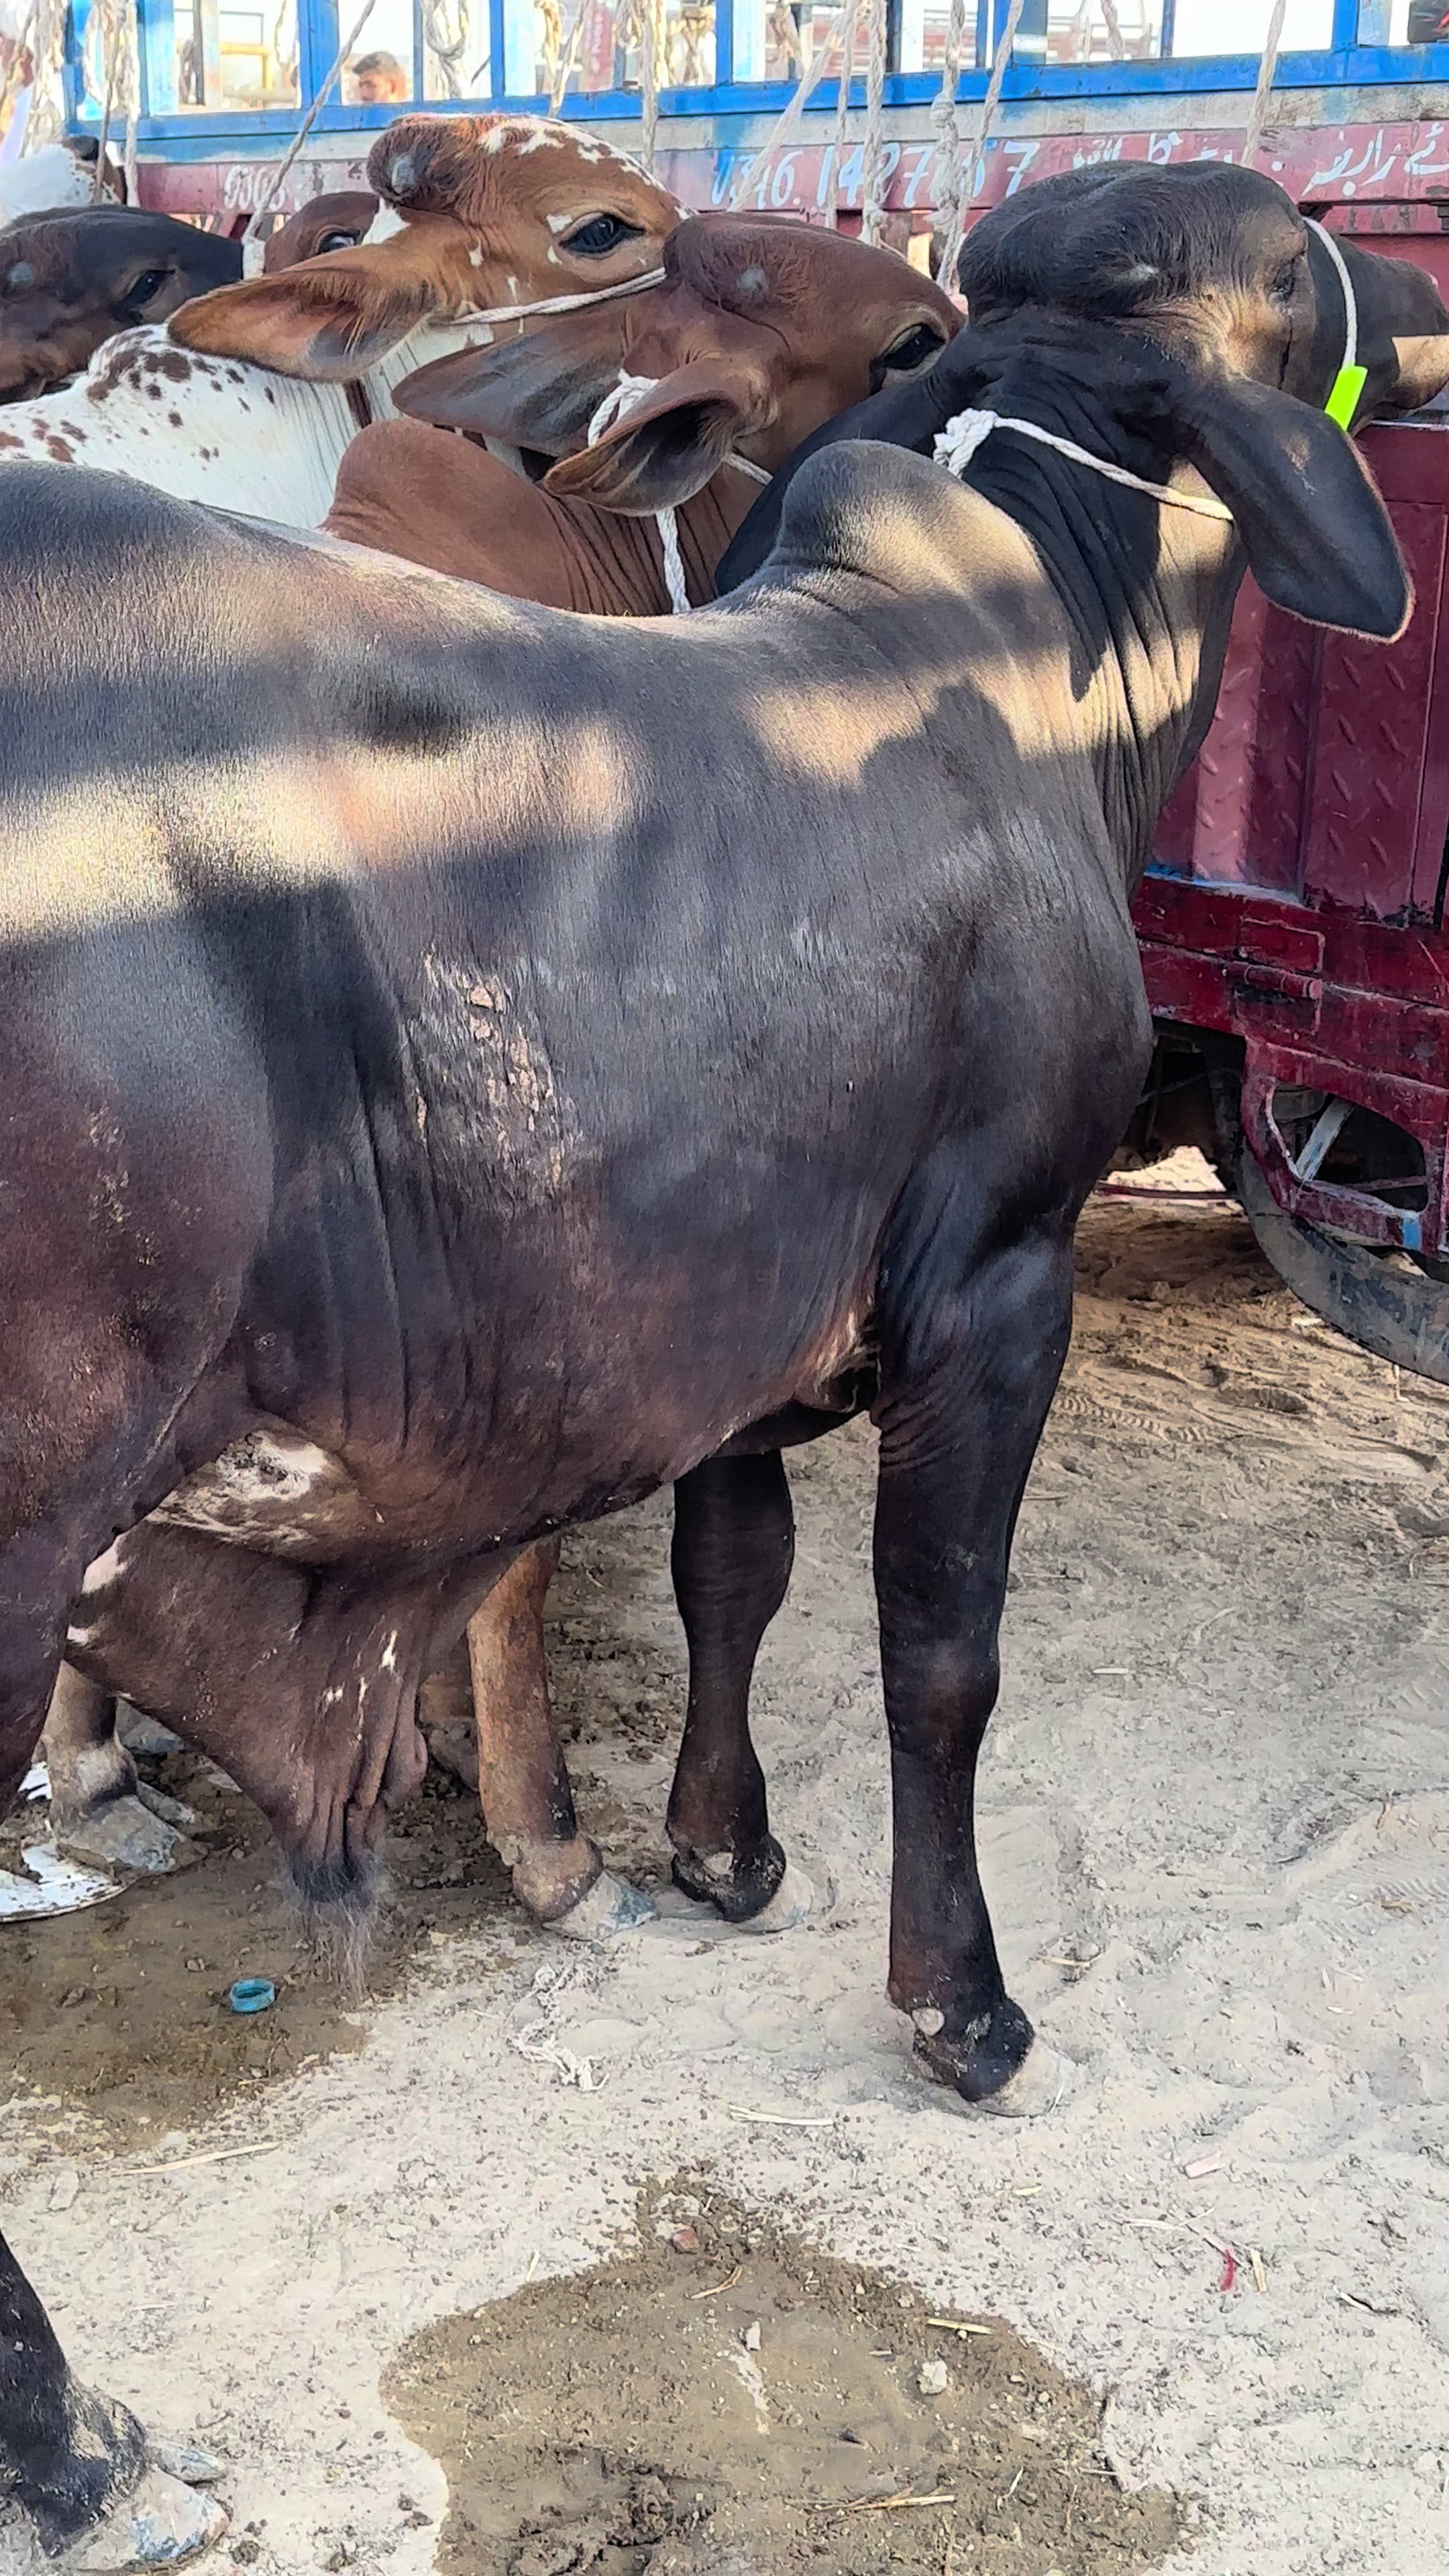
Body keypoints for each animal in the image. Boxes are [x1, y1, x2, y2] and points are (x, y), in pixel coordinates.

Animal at [1, 160, 1446, 2563]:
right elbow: (939, 1655)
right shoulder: (999, 1280)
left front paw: (721, 1855)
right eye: (1282, 271)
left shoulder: (739, 1311)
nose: (1406, 272)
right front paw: (961, 2009)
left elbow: (729, 1577)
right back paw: (82, 2444)